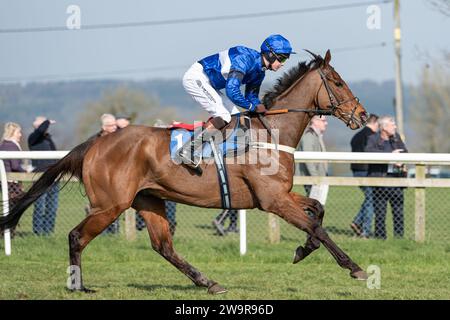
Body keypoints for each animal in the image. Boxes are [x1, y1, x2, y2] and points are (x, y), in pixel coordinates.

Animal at [0, 50, 370, 296]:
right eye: (337, 82)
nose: (363, 115)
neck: (270, 133)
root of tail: (97, 142)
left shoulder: (280, 195)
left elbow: (317, 211)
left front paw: (302, 250)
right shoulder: (272, 200)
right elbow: (316, 226)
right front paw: (355, 268)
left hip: (148, 201)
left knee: (163, 246)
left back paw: (209, 282)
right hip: (110, 205)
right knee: (77, 236)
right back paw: (79, 286)